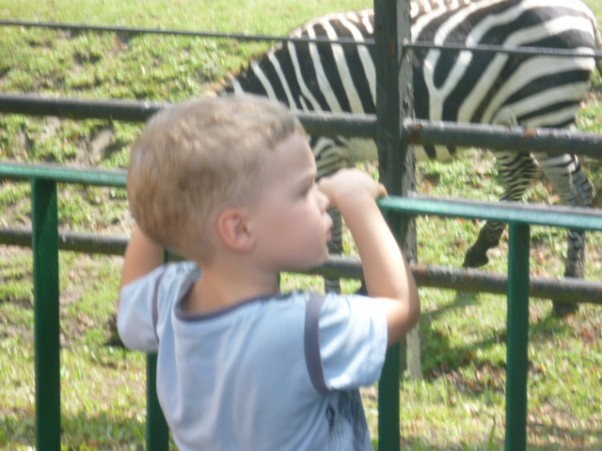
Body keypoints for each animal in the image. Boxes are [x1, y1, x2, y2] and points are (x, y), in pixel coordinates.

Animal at [216, 0, 600, 314]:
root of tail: (583, 10)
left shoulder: (322, 157)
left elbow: (331, 240)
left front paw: (336, 295)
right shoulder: (338, 160)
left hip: (544, 109)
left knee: (575, 190)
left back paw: (570, 286)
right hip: (508, 120)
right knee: (524, 174)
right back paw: (481, 249)